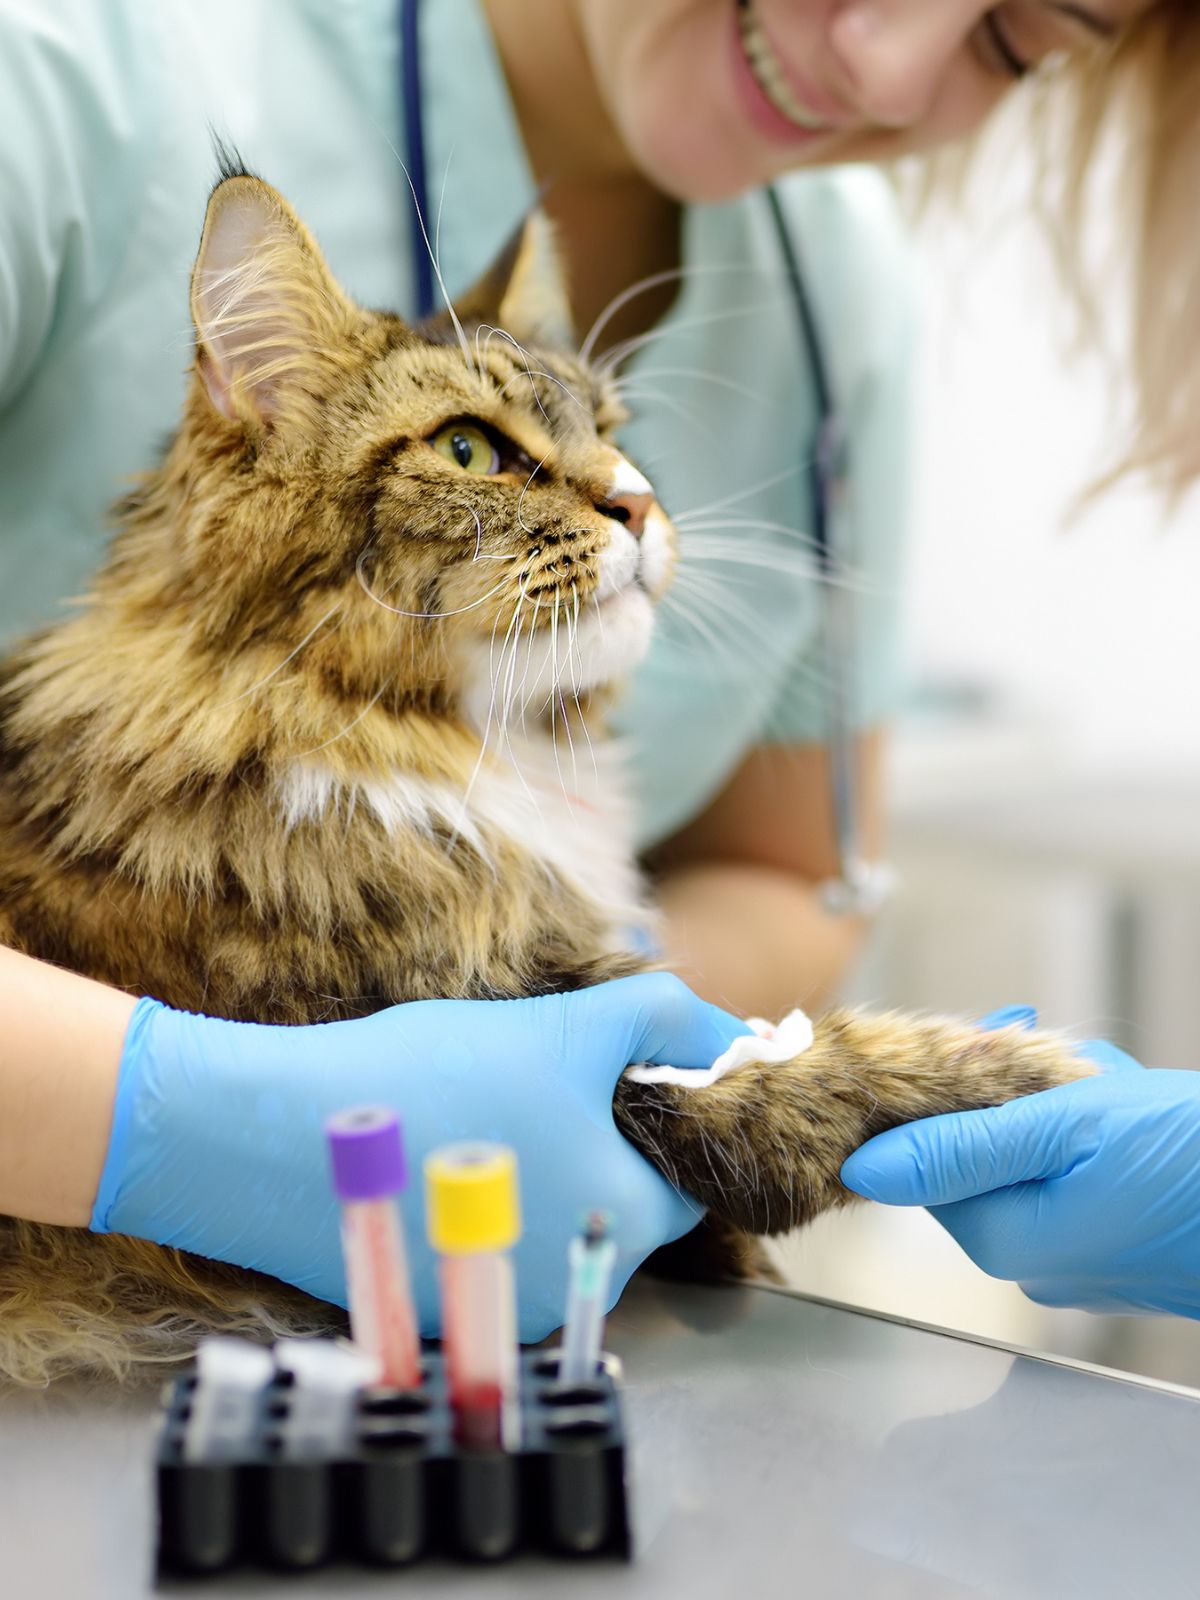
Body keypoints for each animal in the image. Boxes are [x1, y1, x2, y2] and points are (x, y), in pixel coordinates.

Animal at [0, 165, 1094, 1388]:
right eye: (469, 449)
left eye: (613, 434)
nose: (641, 503)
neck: (473, 754)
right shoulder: (533, 1028)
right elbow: (824, 1071)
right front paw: (1046, 1076)